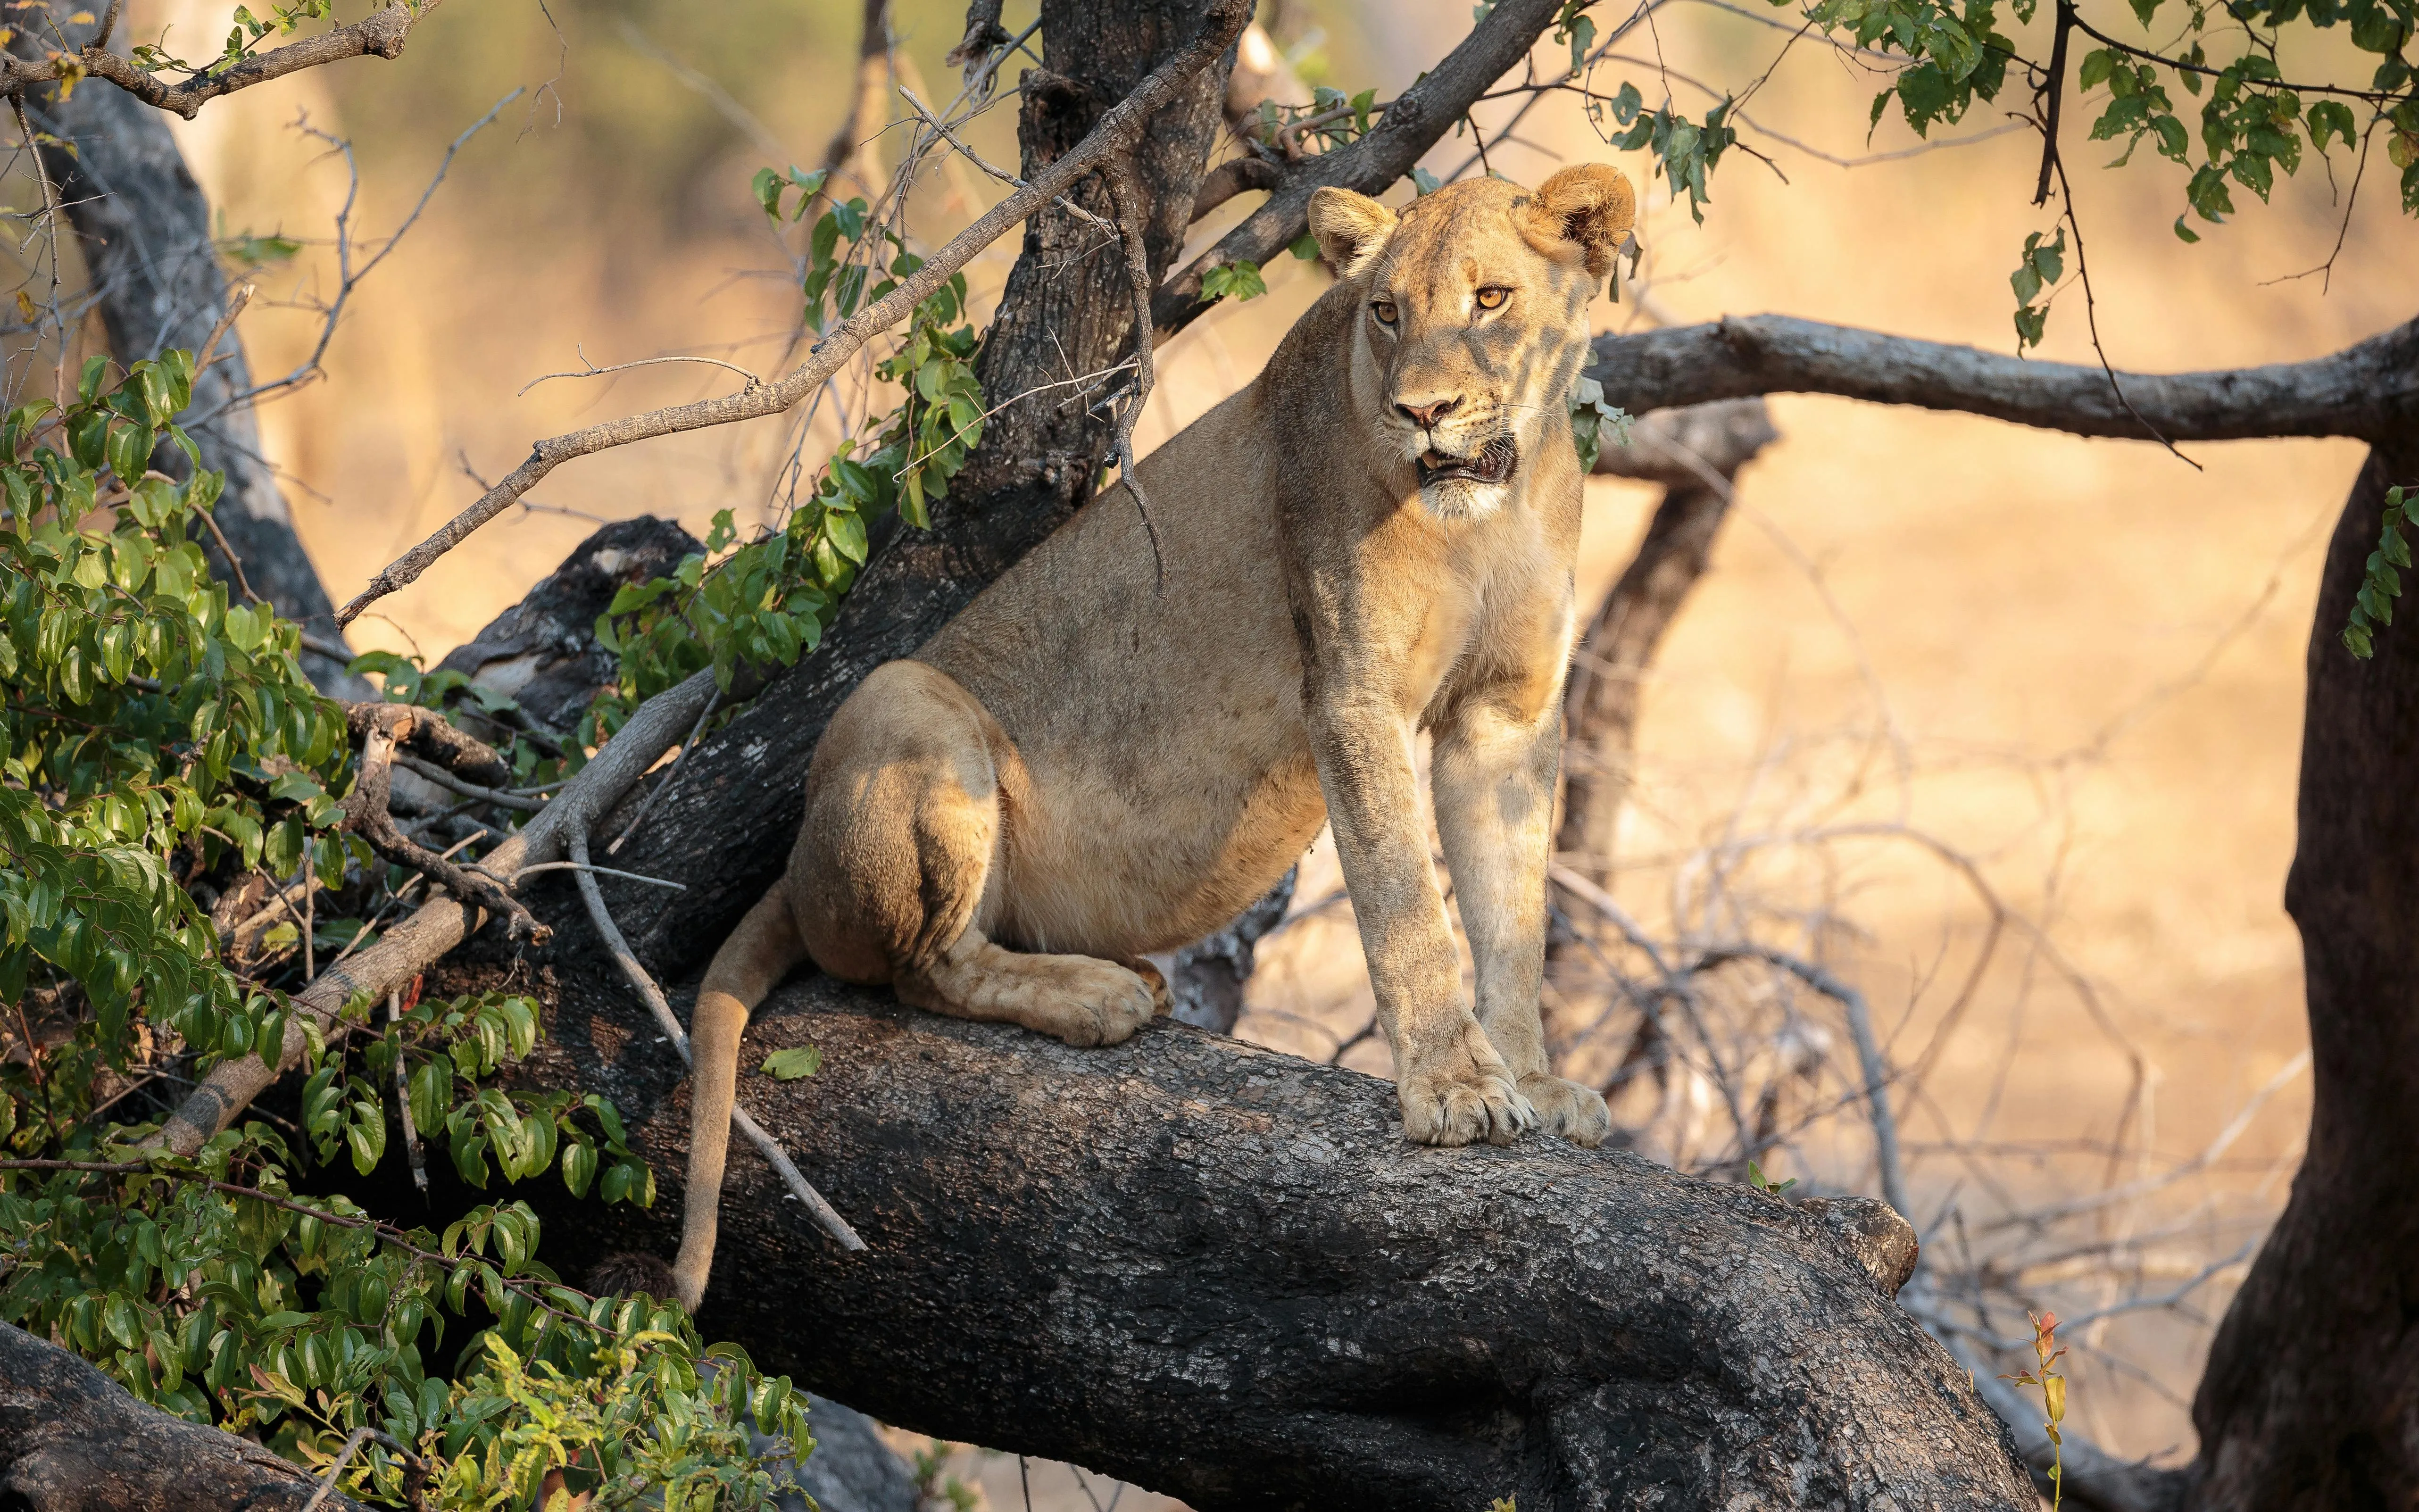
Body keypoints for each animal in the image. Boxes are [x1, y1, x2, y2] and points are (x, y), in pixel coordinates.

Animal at [670, 163, 1638, 1311]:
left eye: (1490, 299)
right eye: (1385, 313)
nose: (1422, 412)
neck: (1494, 502)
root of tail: (793, 870)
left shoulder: (1507, 714)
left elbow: (1509, 914)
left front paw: (1530, 1078)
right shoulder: (1348, 692)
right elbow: (1405, 908)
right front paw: (1451, 1090)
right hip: (905, 701)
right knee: (919, 970)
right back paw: (1096, 997)